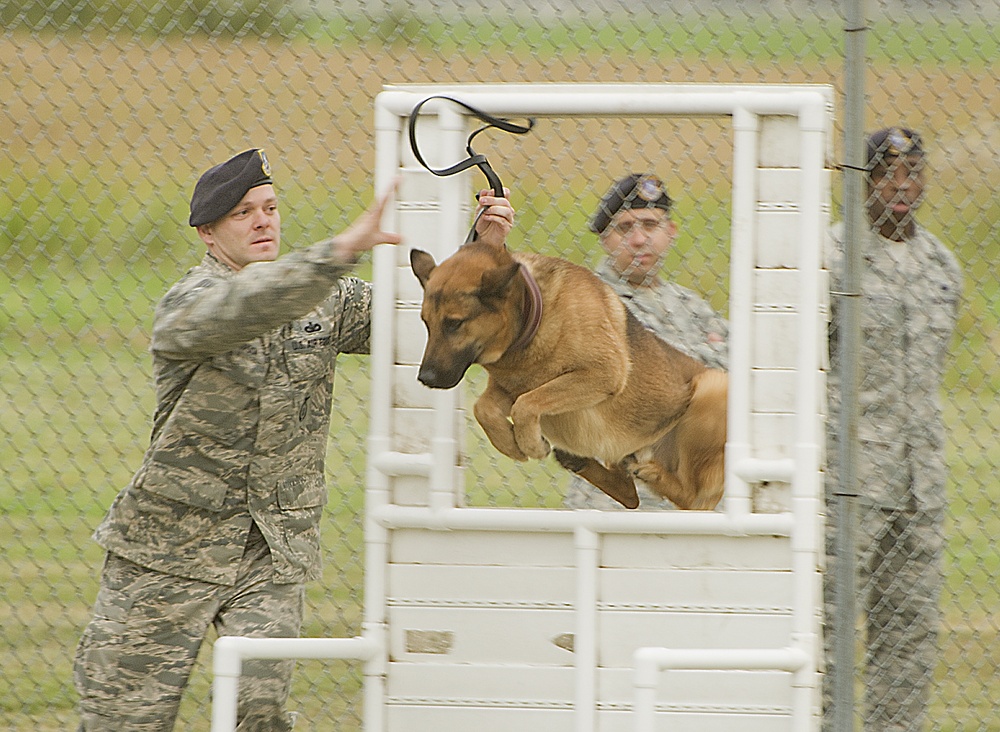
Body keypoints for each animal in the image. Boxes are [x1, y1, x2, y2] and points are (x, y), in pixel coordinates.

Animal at [408, 240, 728, 508]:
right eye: (425, 322)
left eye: (454, 324)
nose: (426, 379)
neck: (533, 318)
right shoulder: (509, 386)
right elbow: (483, 408)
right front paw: (511, 444)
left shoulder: (600, 373)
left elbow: (526, 404)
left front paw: (530, 444)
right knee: (630, 495)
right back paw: (583, 463)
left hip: (711, 387)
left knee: (691, 499)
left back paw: (651, 472)